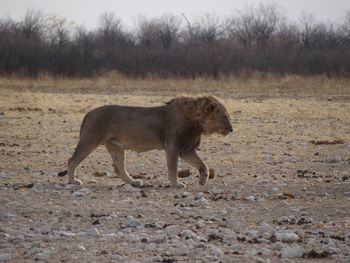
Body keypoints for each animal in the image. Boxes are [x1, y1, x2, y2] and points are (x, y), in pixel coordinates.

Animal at [58, 96, 232, 189]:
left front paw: (203, 180)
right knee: (72, 160)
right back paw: (73, 181)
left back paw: (134, 182)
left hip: (115, 146)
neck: (198, 123)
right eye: (225, 117)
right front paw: (176, 185)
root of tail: (89, 112)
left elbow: (202, 164)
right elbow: (173, 168)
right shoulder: (173, 147)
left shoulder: (186, 149)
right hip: (90, 140)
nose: (231, 129)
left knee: (119, 168)